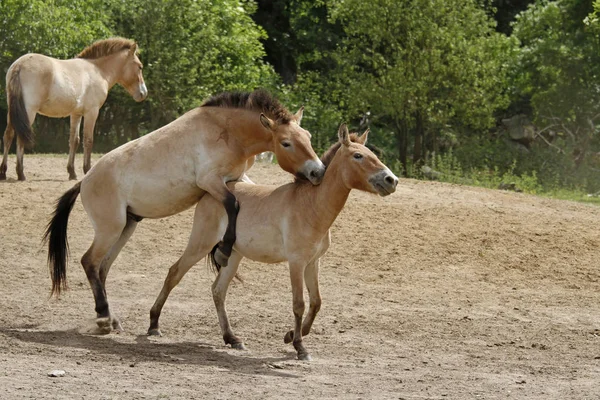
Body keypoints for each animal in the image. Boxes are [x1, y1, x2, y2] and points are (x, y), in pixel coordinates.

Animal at [0, 37, 148, 181]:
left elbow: (74, 141)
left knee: (8, 135)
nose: (143, 93)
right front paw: (87, 170)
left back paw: (3, 172)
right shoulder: (92, 112)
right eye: (140, 66)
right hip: (28, 111)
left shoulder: (76, 114)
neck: (98, 71)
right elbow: (88, 140)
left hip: (12, 112)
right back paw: (20, 173)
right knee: (20, 137)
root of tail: (19, 65)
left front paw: (72, 172)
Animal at [44, 88, 326, 334]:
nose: (318, 172)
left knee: (102, 268)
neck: (228, 131)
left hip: (126, 227)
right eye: (286, 143)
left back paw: (113, 321)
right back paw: (103, 317)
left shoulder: (238, 178)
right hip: (109, 229)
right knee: (89, 262)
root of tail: (84, 182)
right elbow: (232, 205)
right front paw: (223, 252)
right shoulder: (211, 181)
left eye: (309, 137)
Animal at [146, 123, 398, 360]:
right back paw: (154, 325)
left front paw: (290, 335)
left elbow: (316, 302)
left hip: (233, 255)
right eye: (358, 156)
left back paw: (232, 338)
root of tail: (213, 193)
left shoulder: (313, 262)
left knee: (218, 290)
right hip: (201, 243)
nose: (391, 180)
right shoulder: (296, 262)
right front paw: (300, 347)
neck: (311, 205)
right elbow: (299, 304)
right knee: (174, 273)